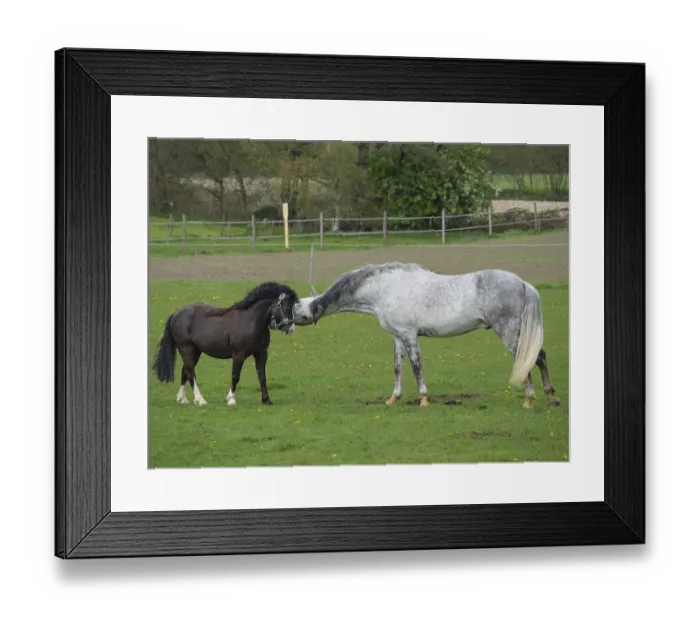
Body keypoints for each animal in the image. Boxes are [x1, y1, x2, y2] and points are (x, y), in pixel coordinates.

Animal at [152, 282, 299, 408]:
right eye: (284, 305)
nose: (291, 328)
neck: (250, 320)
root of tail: (176, 314)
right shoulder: (239, 355)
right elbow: (235, 376)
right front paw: (231, 400)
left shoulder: (261, 353)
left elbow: (262, 376)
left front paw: (266, 400)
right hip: (186, 349)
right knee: (190, 372)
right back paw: (200, 400)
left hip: (196, 351)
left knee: (185, 371)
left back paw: (182, 399)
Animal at [292, 262, 560, 409]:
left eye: (298, 310)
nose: (288, 322)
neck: (386, 289)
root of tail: (523, 284)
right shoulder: (398, 337)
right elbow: (398, 367)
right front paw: (393, 398)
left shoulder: (410, 335)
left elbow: (416, 366)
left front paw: (423, 398)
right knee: (540, 357)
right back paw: (551, 397)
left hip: (509, 333)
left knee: (526, 362)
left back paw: (529, 400)